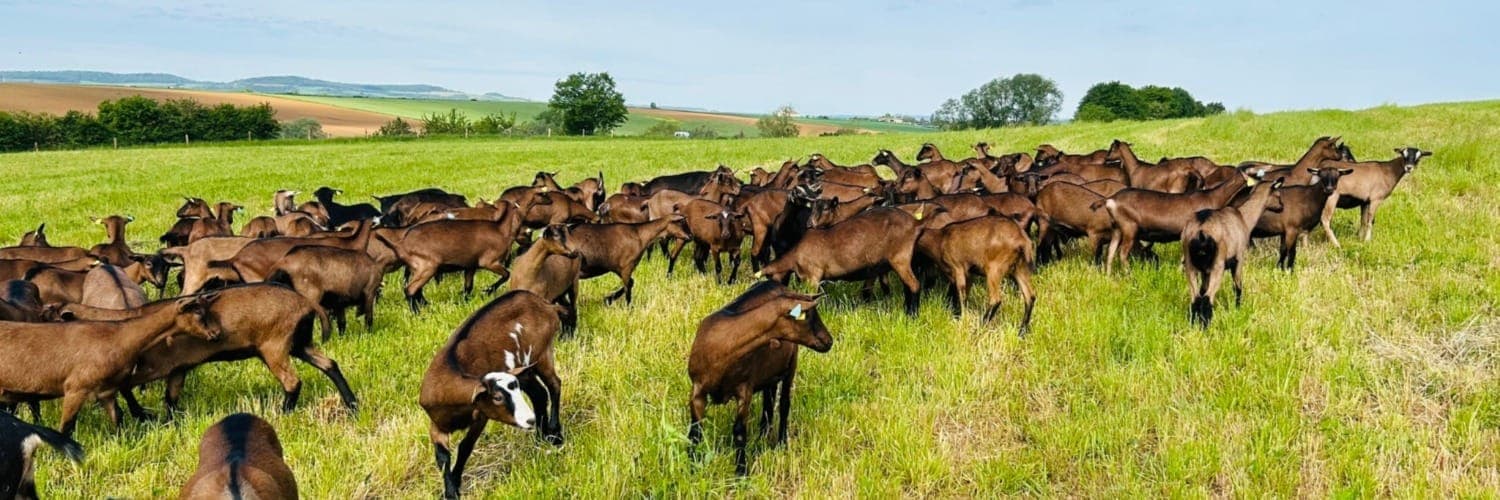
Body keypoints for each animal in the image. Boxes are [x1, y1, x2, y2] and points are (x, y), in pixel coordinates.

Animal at [420, 290, 565, 498]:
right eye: (497, 397)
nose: (529, 420)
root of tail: (546, 305)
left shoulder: (481, 415)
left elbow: (465, 447)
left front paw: (455, 484)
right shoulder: (436, 423)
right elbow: (442, 457)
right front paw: (450, 490)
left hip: (542, 353)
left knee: (554, 385)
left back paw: (555, 433)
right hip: (525, 370)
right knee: (539, 394)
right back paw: (540, 435)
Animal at [688, 281, 831, 475]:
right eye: (807, 316)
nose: (829, 341)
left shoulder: (744, 389)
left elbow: (739, 432)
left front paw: (741, 472)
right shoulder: (697, 389)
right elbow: (695, 431)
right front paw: (691, 465)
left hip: (791, 365)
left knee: (784, 404)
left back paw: (781, 443)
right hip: (769, 374)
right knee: (768, 401)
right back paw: (763, 434)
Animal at [1182, 178, 1284, 327]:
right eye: (1278, 195)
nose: (1282, 207)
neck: (1244, 217)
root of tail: (1201, 230)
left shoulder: (1204, 271)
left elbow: (1201, 291)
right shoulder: (1239, 258)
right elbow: (1237, 287)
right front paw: (1238, 309)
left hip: (1190, 264)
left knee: (1196, 298)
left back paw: (1194, 325)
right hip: (1217, 265)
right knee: (1207, 298)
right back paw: (1206, 327)